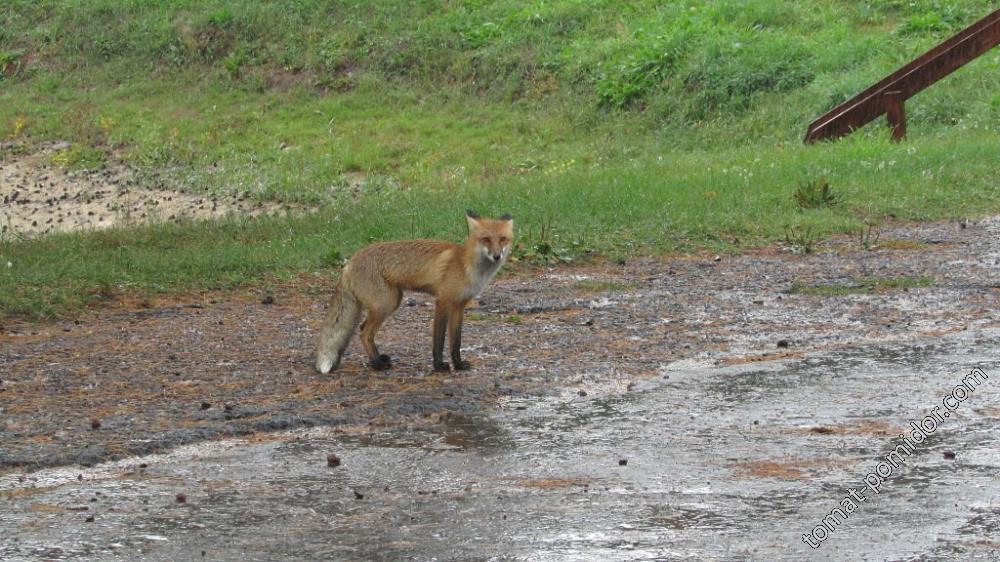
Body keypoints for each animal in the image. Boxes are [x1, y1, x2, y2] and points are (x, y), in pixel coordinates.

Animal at [314, 209, 516, 372]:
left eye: (503, 239)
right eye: (486, 239)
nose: (497, 256)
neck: (467, 266)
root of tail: (350, 262)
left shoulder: (459, 306)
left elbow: (455, 341)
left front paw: (458, 365)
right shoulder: (443, 301)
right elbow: (439, 340)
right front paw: (439, 366)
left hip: (391, 301)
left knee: (363, 329)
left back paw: (378, 360)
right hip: (386, 303)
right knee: (364, 333)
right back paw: (377, 365)